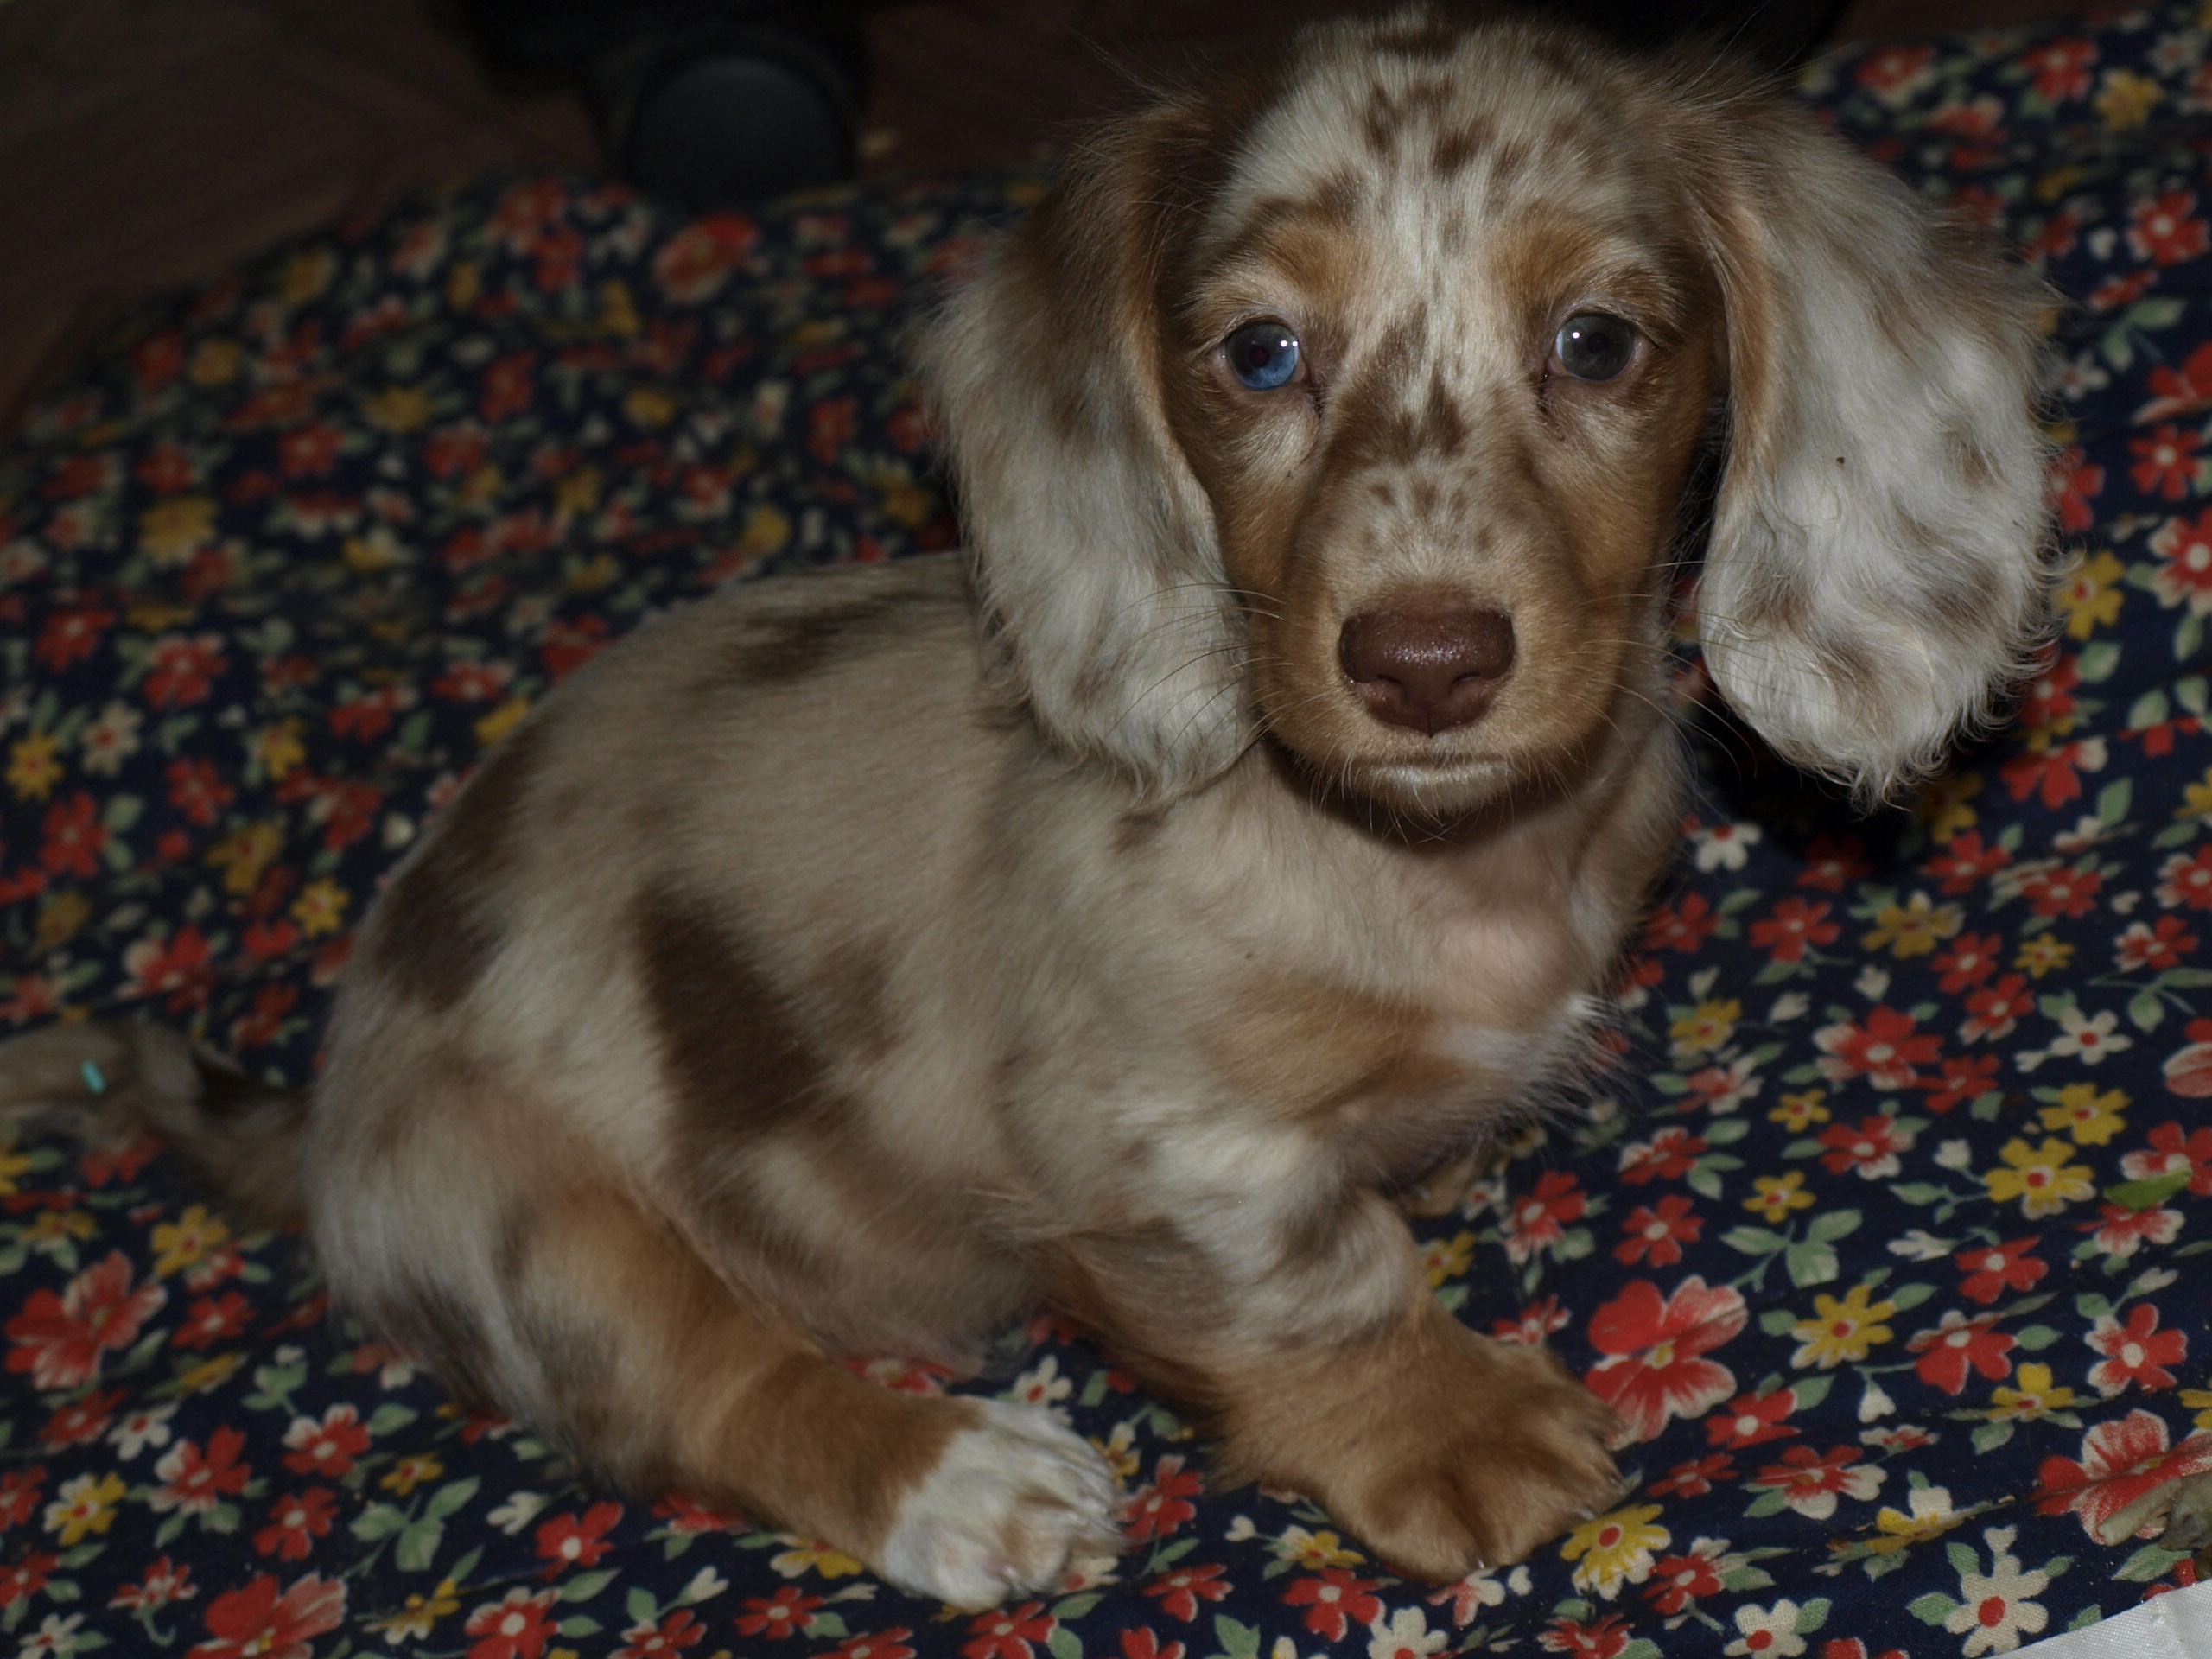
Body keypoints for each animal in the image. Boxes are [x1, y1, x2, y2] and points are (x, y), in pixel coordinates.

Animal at [0, 8, 2048, 1612]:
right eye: (1259, 353)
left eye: (1602, 342)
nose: (1424, 661)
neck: (1420, 859)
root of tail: (329, 1096)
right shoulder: (1160, 1149)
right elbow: (1323, 1282)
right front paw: (1447, 1420)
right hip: (532, 1223)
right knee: (714, 1388)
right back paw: (958, 1478)